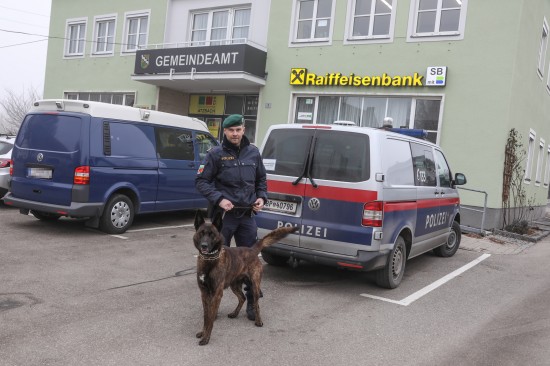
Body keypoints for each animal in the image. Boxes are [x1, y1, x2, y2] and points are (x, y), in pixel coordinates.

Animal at [194, 209, 298, 346]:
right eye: (201, 233)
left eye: (212, 235)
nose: (204, 245)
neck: (210, 261)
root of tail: (253, 250)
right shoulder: (204, 293)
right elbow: (206, 316)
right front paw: (203, 333)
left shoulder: (217, 294)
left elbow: (210, 318)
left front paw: (206, 338)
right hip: (234, 285)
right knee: (242, 298)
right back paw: (235, 313)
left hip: (254, 285)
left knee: (255, 303)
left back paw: (258, 321)